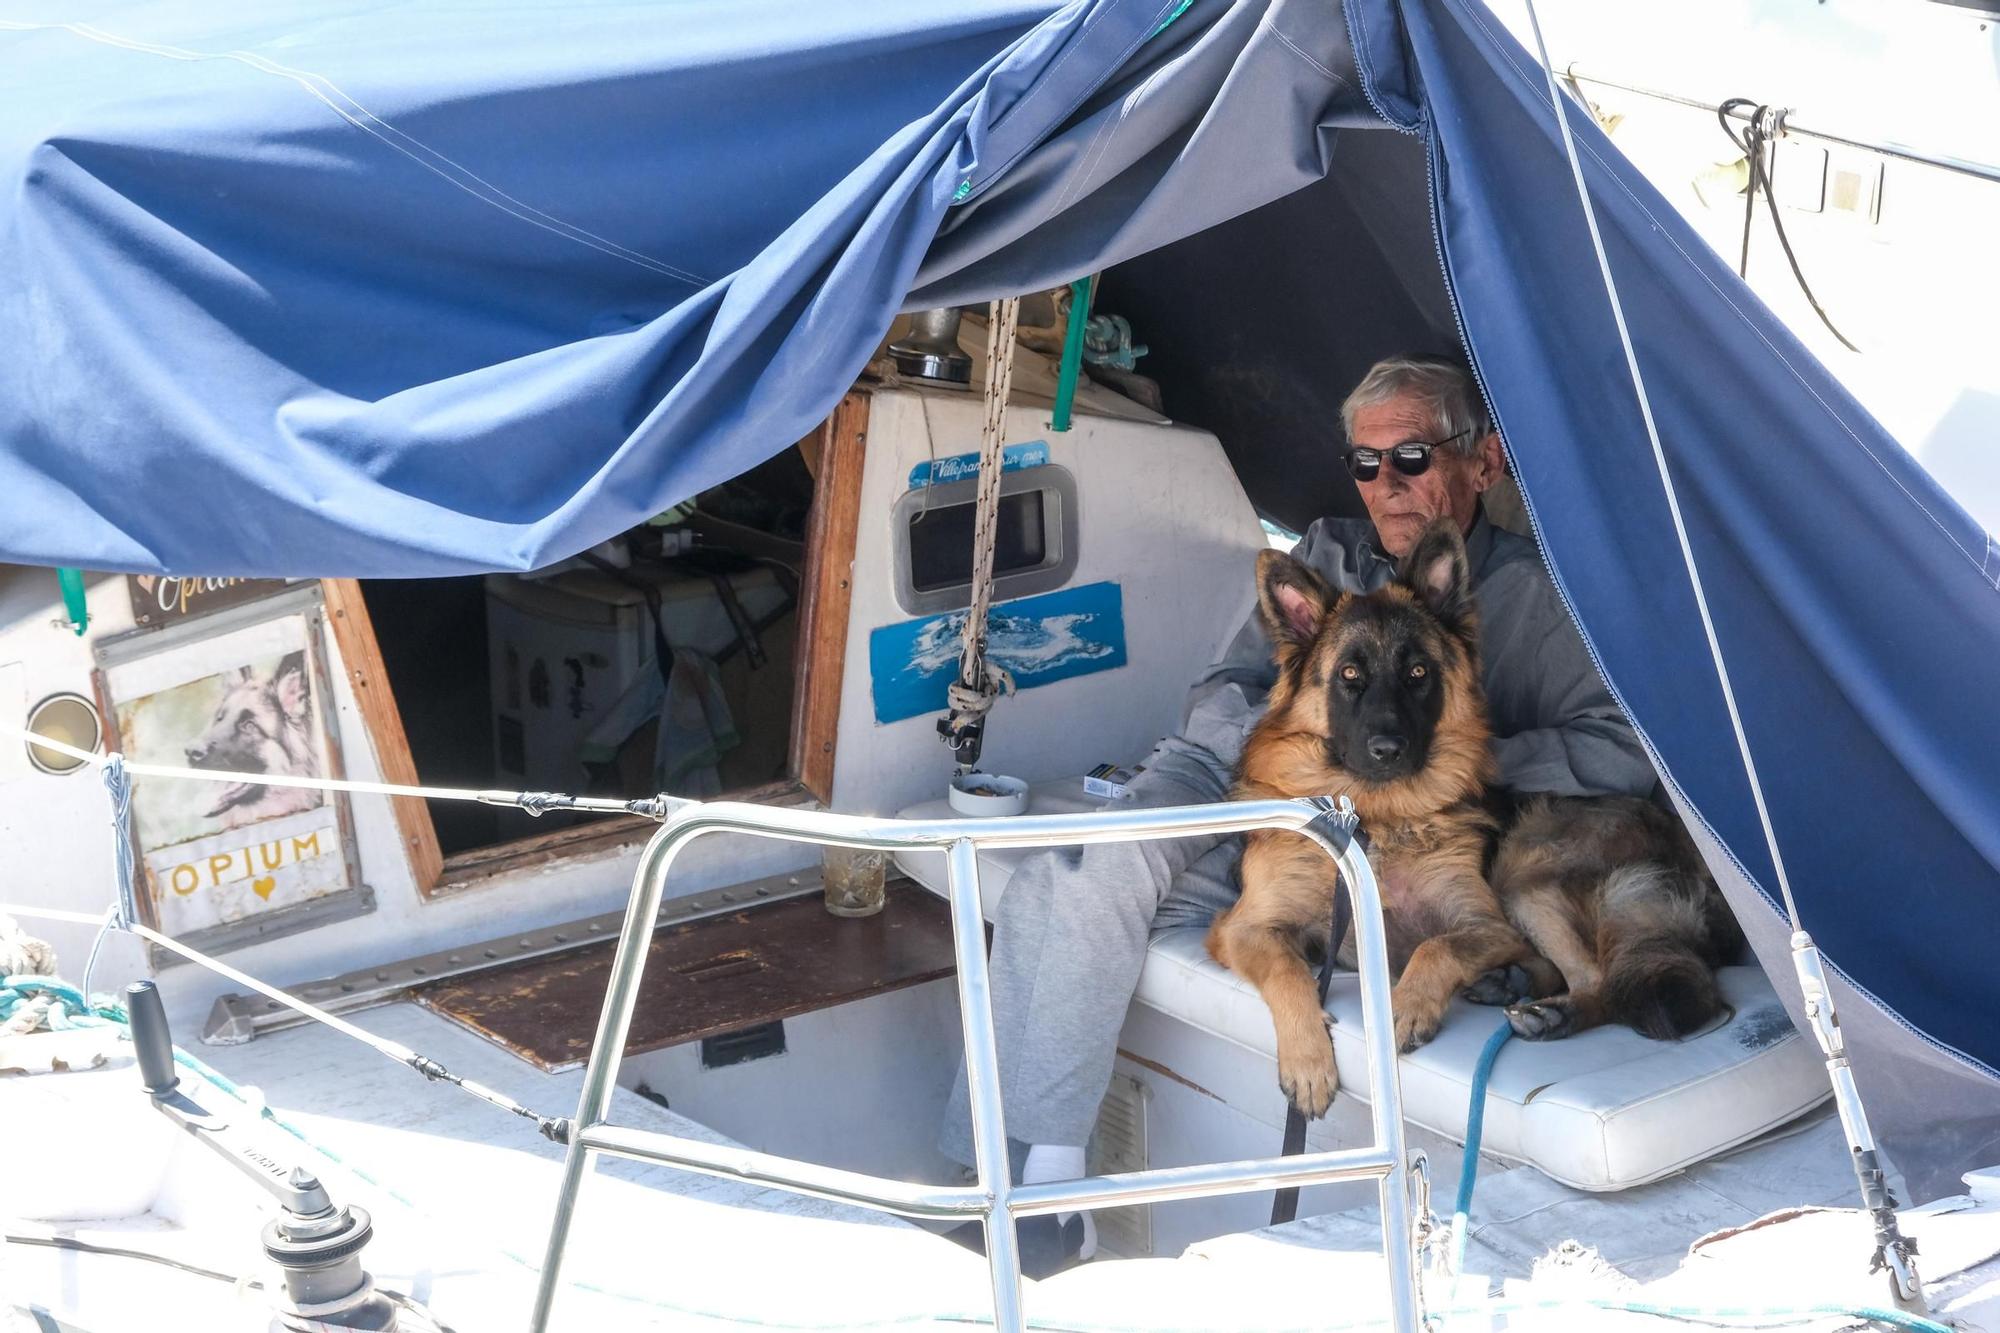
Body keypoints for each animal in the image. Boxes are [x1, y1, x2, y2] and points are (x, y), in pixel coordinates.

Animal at [1200, 520, 1544, 1112]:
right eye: (1350, 673)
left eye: (1418, 672)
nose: (1388, 750)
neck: (1374, 820)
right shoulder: (1245, 929)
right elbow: (1288, 969)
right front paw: (1308, 1061)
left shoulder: (1489, 926)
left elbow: (1437, 944)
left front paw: (1404, 1006)